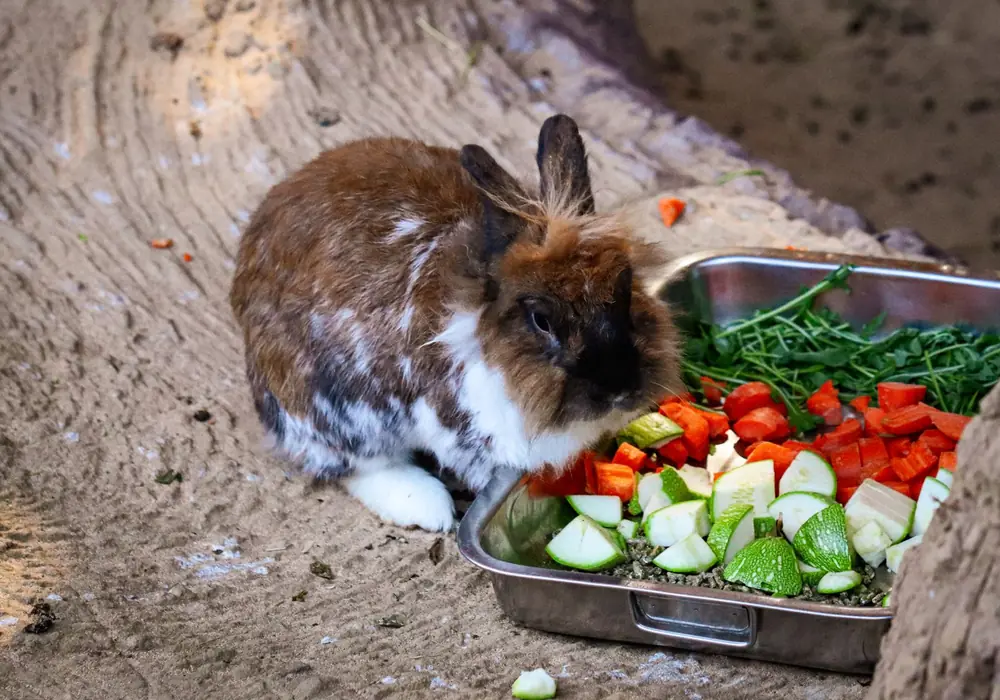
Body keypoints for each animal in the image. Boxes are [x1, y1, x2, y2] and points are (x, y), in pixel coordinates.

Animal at [229, 114, 681, 532]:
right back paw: (429, 508)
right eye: (541, 320)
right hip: (332, 408)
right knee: (354, 464)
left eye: (626, 288)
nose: (619, 389)